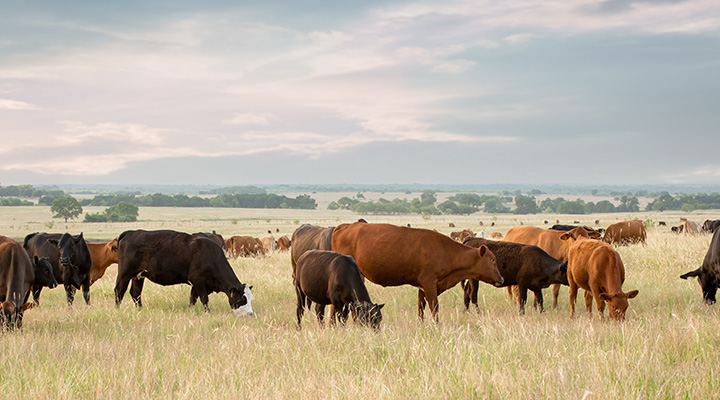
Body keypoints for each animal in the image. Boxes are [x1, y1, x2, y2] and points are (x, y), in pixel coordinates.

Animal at [115, 230, 253, 316]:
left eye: (250, 298)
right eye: (242, 299)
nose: (250, 314)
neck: (209, 255)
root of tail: (130, 233)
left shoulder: (197, 284)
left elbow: (193, 299)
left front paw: (191, 311)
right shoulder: (198, 280)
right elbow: (204, 298)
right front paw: (208, 312)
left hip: (138, 276)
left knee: (135, 293)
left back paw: (140, 309)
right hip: (125, 274)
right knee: (119, 291)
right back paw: (117, 309)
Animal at [331, 222, 503, 322]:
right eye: (492, 260)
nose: (501, 279)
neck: (445, 250)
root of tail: (343, 226)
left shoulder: (422, 287)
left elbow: (421, 308)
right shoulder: (430, 285)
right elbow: (434, 308)